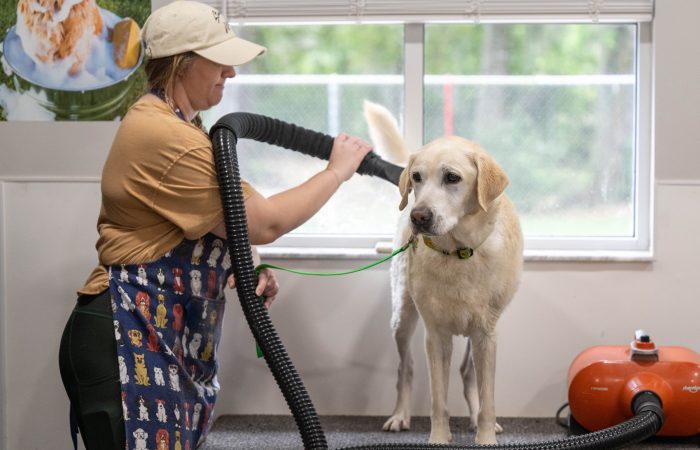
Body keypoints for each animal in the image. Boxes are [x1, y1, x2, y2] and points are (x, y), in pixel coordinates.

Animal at [364, 101, 524, 442]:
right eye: (416, 177)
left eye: (452, 177)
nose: (418, 216)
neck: (459, 252)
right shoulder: (435, 335)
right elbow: (438, 399)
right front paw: (438, 437)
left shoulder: (486, 334)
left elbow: (488, 399)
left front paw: (485, 436)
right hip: (402, 316)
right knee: (405, 369)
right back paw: (400, 415)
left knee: (468, 374)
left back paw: (475, 419)